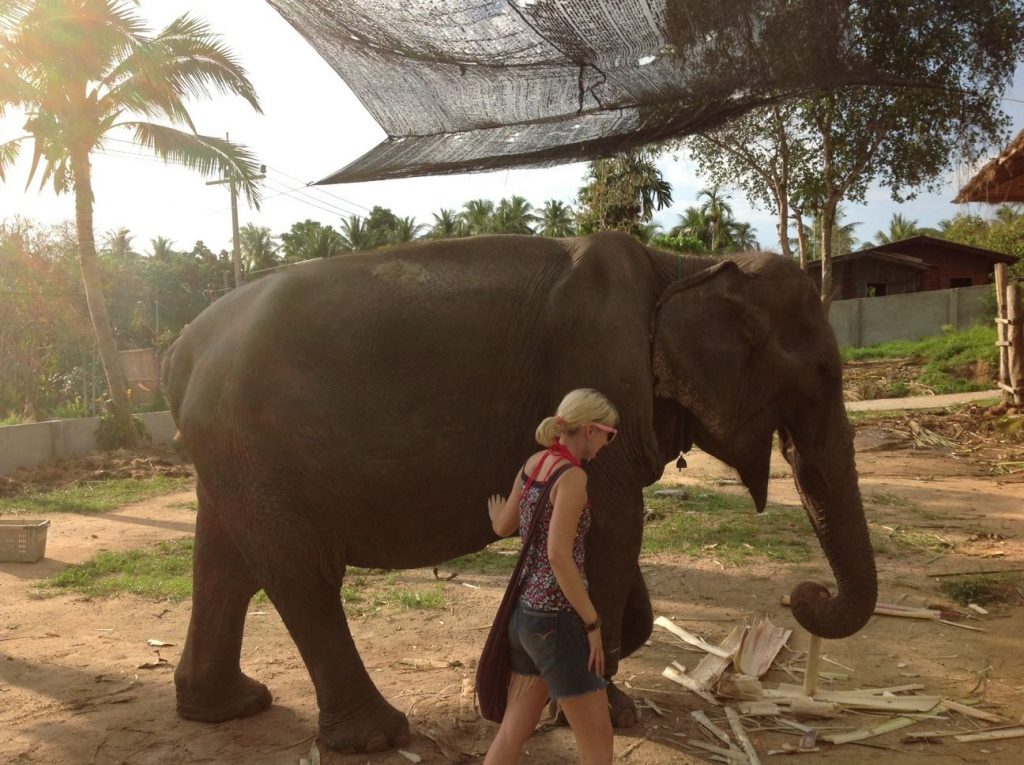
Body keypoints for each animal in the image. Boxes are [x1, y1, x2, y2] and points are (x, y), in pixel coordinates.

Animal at [163, 231, 876, 753]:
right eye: (822, 372)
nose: (806, 594)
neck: (682, 265)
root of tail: (181, 349)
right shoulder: (598, 375)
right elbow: (615, 525)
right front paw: (607, 709)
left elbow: (601, 540)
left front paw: (591, 677)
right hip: (256, 446)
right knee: (301, 573)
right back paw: (379, 736)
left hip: (230, 453)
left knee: (224, 563)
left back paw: (229, 706)